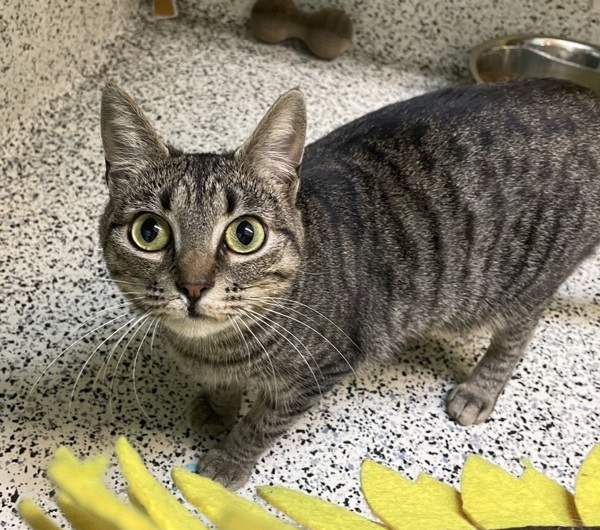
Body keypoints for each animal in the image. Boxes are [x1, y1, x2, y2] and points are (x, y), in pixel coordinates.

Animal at [99, 78, 600, 486]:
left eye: (245, 234)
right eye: (149, 232)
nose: (194, 286)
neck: (214, 349)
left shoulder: (319, 371)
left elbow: (262, 424)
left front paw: (230, 459)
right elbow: (225, 391)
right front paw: (218, 407)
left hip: (522, 282)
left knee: (515, 338)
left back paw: (479, 391)